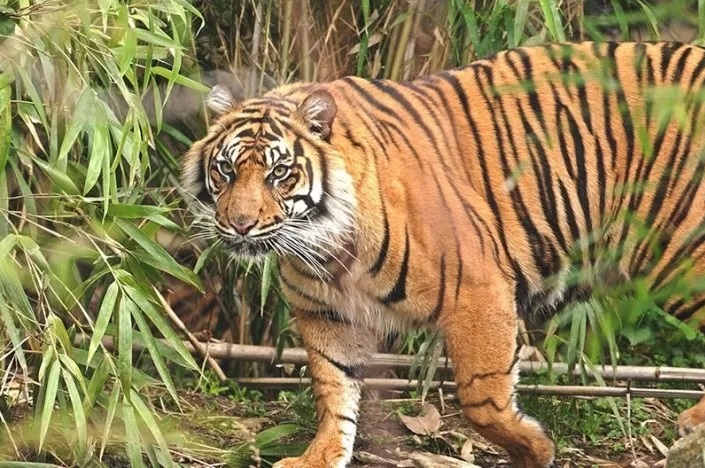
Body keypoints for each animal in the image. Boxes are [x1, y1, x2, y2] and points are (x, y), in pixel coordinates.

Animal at [180, 41, 705, 468]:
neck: (323, 245)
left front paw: (533, 448)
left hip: (683, 252)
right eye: (226, 170)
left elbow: (481, 396)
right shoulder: (326, 313)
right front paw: (320, 455)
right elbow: (333, 388)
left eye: (279, 173)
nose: (239, 224)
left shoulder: (480, 290)